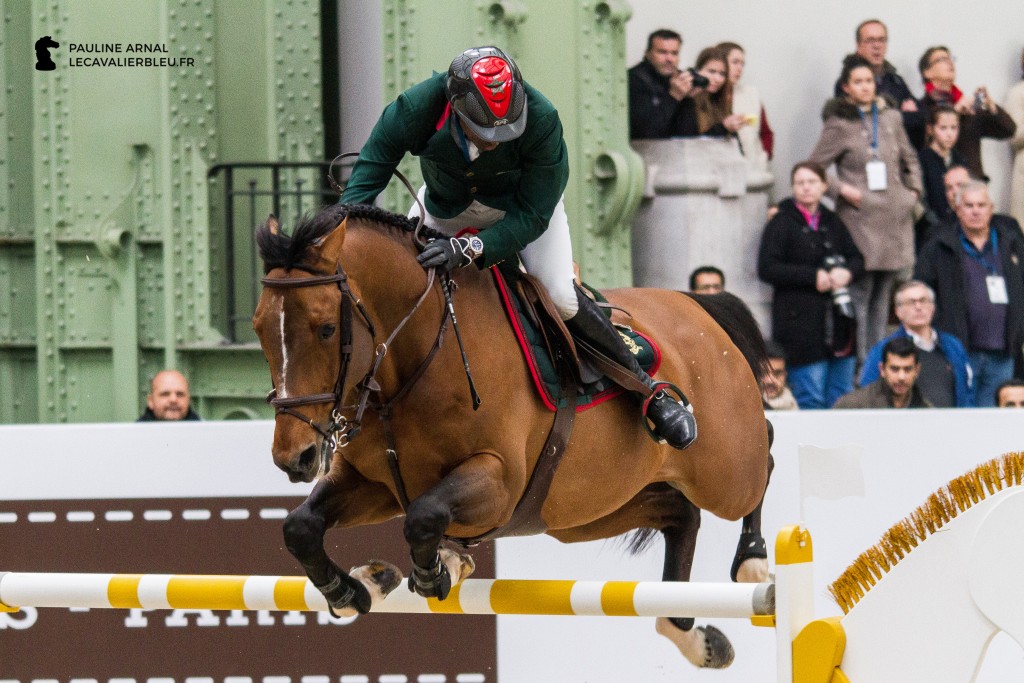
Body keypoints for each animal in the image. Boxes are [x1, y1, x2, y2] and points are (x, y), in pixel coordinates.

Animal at [251, 204, 770, 671]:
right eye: (258, 329)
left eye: (326, 329)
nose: (294, 458)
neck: (415, 359)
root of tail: (698, 306)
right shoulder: (377, 485)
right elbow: (300, 527)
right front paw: (357, 588)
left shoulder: (499, 482)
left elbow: (424, 516)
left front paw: (435, 572)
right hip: (585, 511)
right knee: (680, 515)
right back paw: (697, 639)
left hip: (724, 471)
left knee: (761, 454)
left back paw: (754, 562)